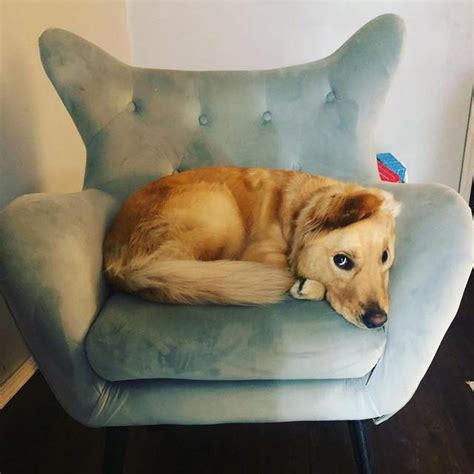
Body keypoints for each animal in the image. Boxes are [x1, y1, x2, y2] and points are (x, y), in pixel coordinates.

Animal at [103, 168, 400, 330]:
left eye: (385, 257)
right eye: (342, 260)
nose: (378, 320)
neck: (295, 213)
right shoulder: (260, 255)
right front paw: (307, 286)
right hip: (222, 211)